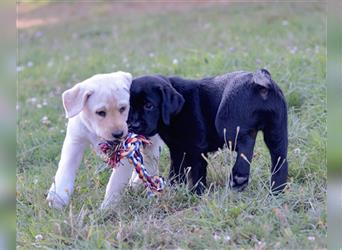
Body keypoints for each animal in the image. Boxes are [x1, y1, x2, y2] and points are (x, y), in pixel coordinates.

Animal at [46, 71, 163, 210]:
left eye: (123, 108)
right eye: (100, 112)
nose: (118, 134)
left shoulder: (124, 151)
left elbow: (115, 182)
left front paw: (107, 207)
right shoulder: (74, 142)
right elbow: (65, 169)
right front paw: (58, 198)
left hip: (152, 142)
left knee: (150, 160)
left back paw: (138, 182)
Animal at [127, 69, 288, 195]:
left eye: (149, 106)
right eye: (128, 107)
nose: (133, 125)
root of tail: (260, 80)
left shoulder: (197, 148)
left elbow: (197, 172)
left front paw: (197, 193)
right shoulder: (177, 149)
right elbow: (176, 170)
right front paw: (175, 189)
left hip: (227, 123)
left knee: (246, 142)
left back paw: (239, 176)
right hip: (277, 130)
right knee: (279, 158)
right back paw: (277, 191)